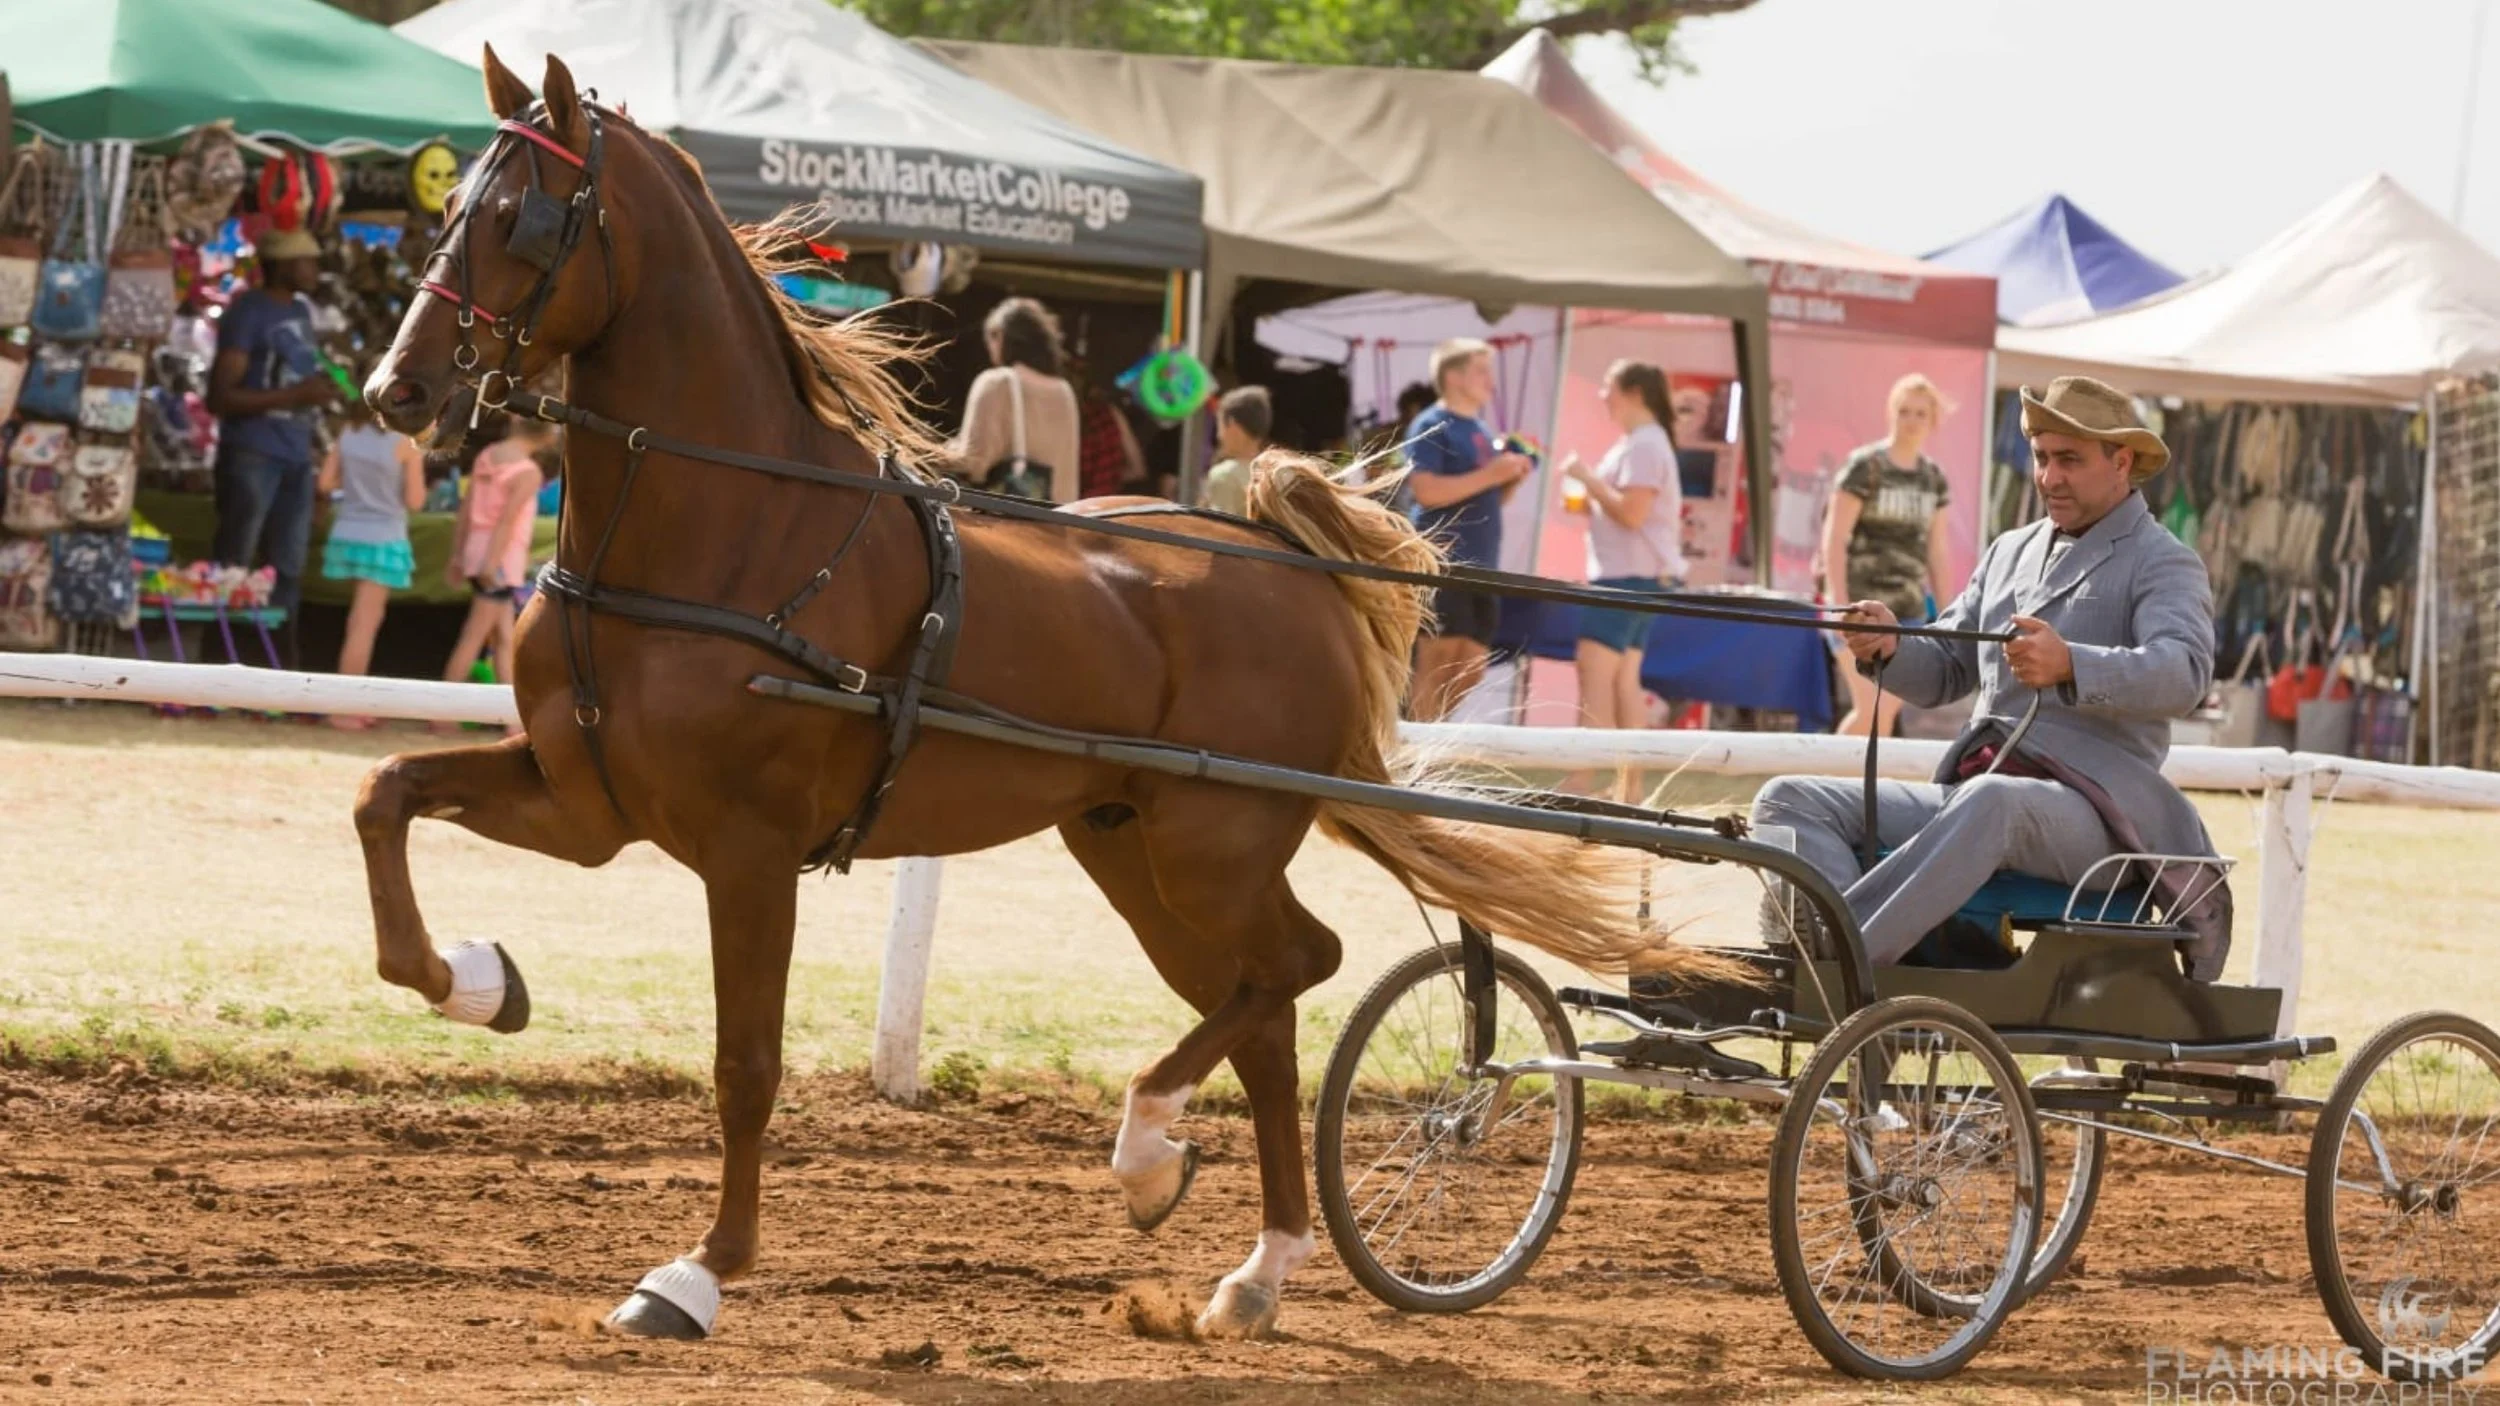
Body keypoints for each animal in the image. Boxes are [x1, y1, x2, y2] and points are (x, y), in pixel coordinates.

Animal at [357, 48, 1714, 1342]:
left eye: (526, 218)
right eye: (448, 206)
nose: (394, 392)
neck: (727, 528)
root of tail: (1288, 566)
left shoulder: (747, 846)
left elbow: (745, 1062)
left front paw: (696, 1273)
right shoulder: (591, 802)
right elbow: (387, 793)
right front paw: (477, 979)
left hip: (1210, 840)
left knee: (1296, 965)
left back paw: (1151, 1138)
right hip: (1131, 845)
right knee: (1263, 1007)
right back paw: (1253, 1265)